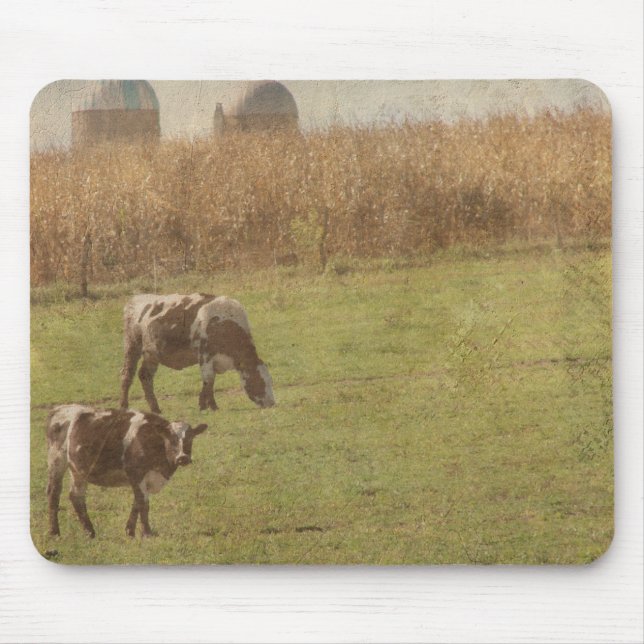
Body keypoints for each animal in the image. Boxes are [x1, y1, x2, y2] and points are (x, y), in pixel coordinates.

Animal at [46, 404, 207, 538]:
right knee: (55, 494)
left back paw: (88, 532)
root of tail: (60, 408)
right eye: (172, 438)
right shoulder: (135, 473)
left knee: (76, 496)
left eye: (190, 438)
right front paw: (147, 533)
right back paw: (56, 532)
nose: (182, 458)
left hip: (79, 470)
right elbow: (143, 503)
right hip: (58, 462)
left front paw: (130, 531)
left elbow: (136, 503)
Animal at [119, 293, 275, 414]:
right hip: (132, 347)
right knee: (128, 375)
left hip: (152, 354)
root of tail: (135, 299)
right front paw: (207, 406)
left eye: (270, 381)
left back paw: (155, 408)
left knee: (145, 376)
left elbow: (210, 383)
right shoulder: (205, 356)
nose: (272, 403)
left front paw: (207, 405)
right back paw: (125, 406)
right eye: (260, 381)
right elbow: (208, 380)